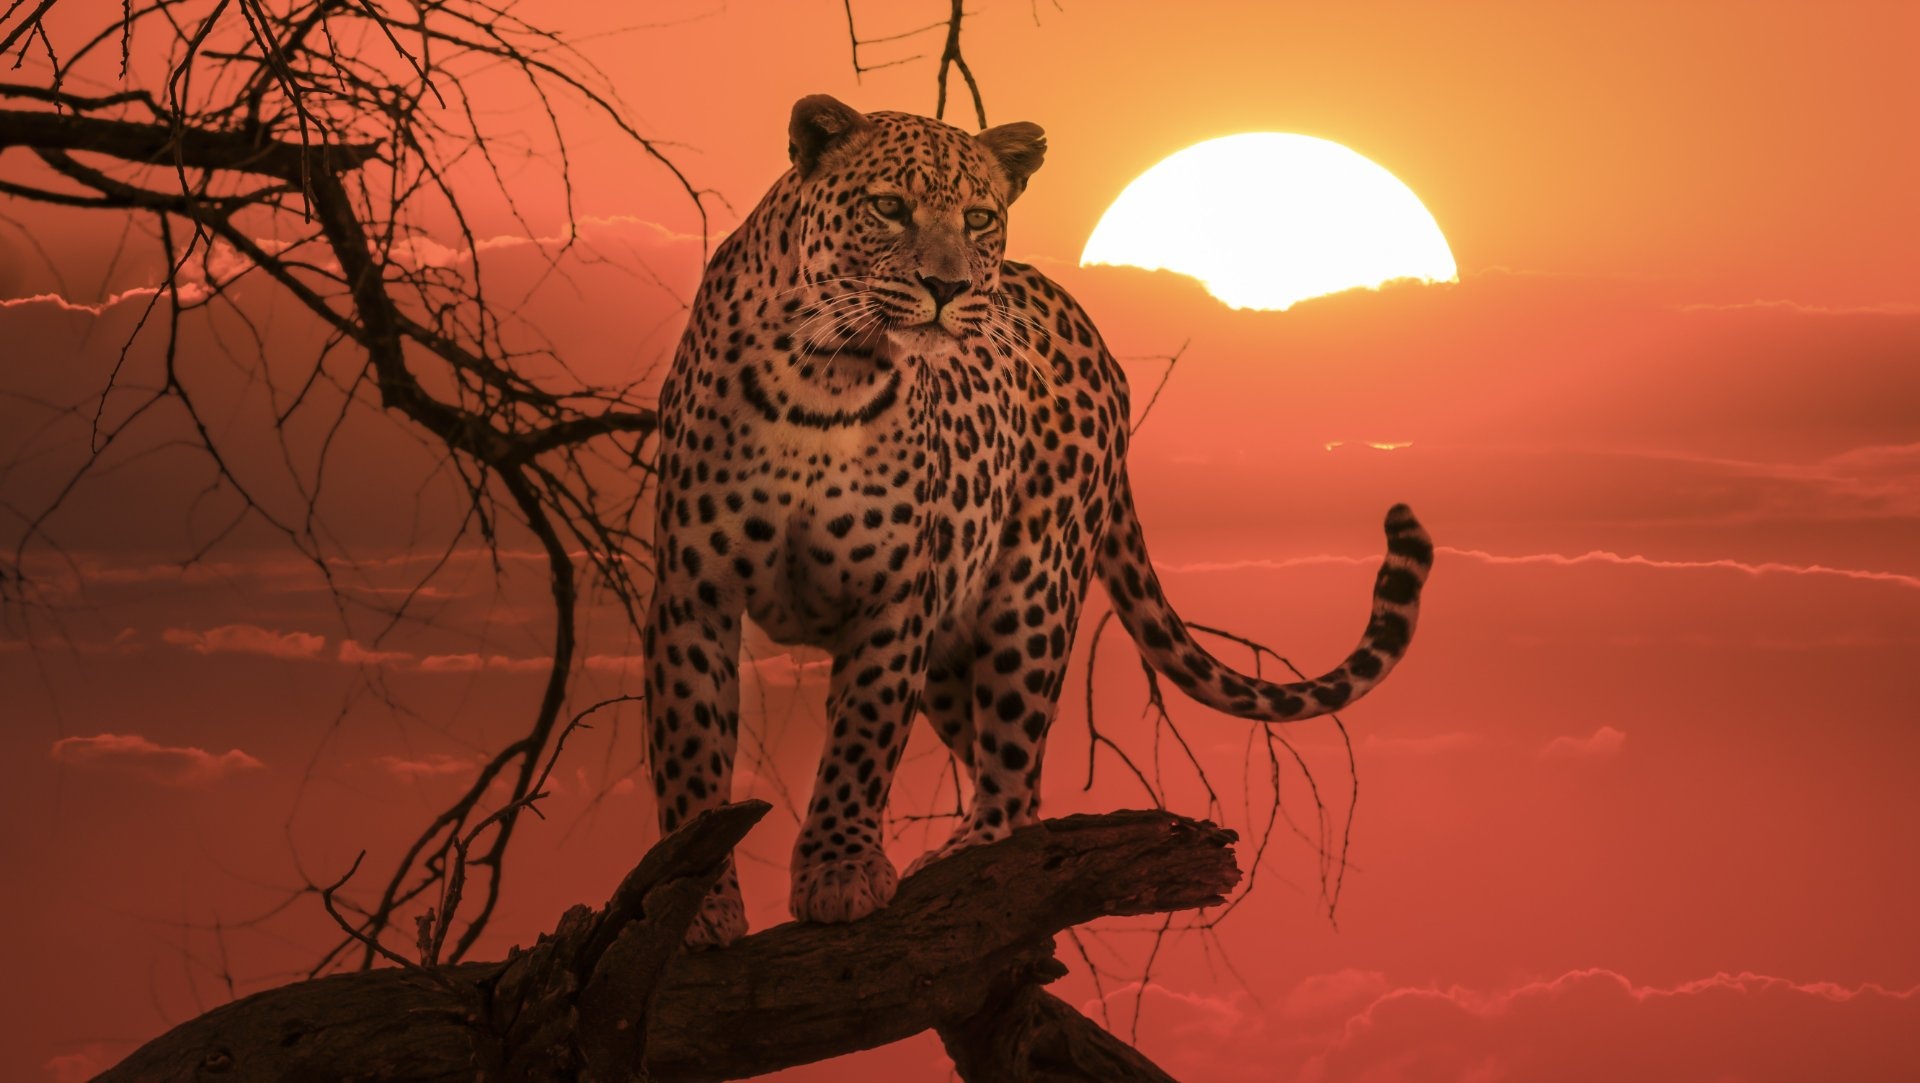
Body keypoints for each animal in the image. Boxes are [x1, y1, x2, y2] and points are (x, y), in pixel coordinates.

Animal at [645, 94, 1434, 947]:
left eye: (980, 216)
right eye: (888, 206)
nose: (946, 285)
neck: (825, 377)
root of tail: (1091, 331)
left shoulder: (894, 600)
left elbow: (861, 742)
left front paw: (841, 868)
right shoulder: (693, 593)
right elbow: (692, 757)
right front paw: (699, 906)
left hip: (1031, 592)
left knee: (1017, 774)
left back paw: (969, 852)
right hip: (953, 644)